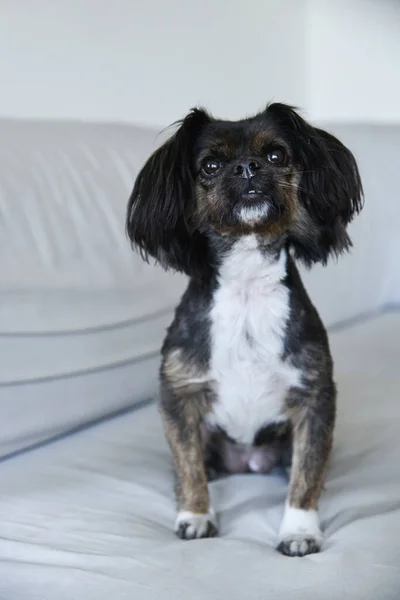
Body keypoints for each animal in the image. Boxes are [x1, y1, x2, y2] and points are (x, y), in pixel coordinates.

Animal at [126, 103, 364, 556]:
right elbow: (188, 465)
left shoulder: (316, 398)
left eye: (276, 155)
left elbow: (306, 476)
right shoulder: (178, 395)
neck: (248, 285)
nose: (248, 167)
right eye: (210, 165)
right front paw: (196, 515)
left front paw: (299, 531)